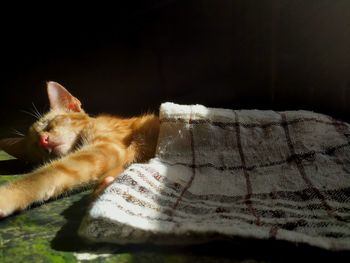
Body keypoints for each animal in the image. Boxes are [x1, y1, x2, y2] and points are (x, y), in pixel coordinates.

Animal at [0, 82, 160, 219]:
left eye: (48, 125)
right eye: (34, 145)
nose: (42, 140)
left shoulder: (105, 148)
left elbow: (42, 175)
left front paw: (6, 196)